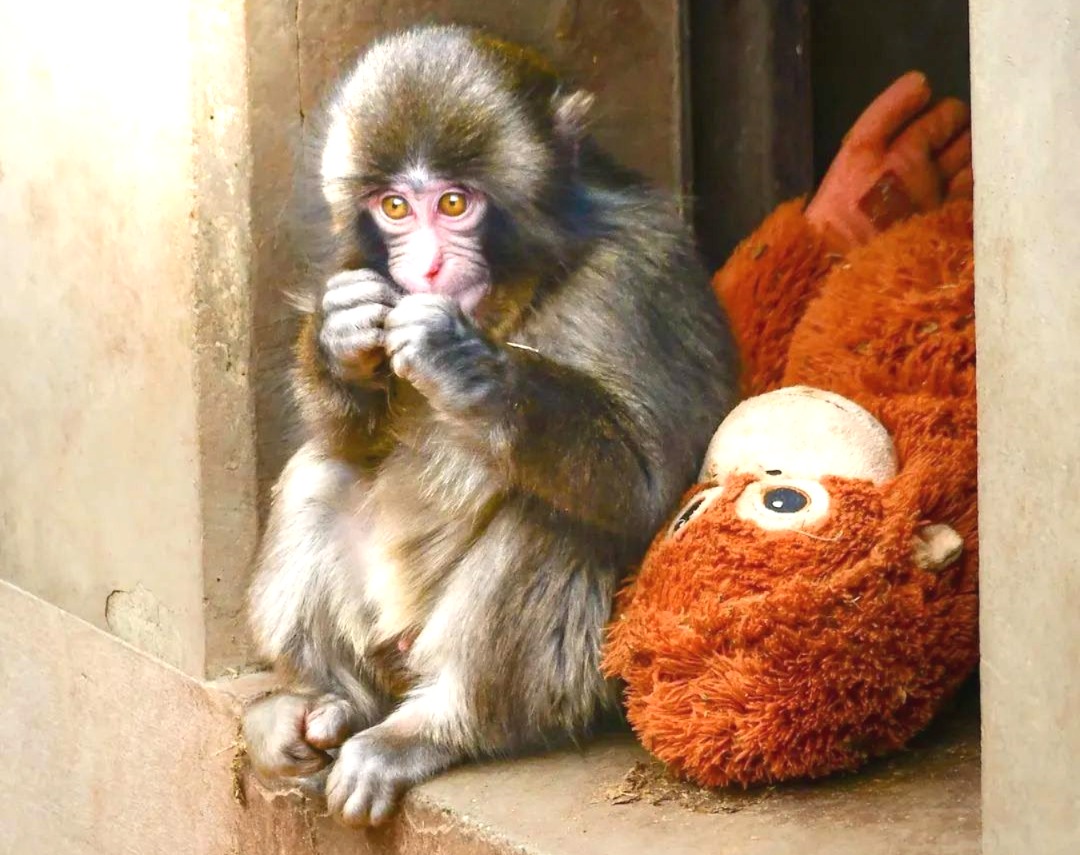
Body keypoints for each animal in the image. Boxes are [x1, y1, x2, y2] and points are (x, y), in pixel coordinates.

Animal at [242, 24, 738, 827]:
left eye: (453, 202)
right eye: (394, 208)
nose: (426, 268)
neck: (522, 286)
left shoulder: (639, 277)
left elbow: (651, 483)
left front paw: (467, 367)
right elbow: (351, 439)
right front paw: (336, 341)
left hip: (567, 680)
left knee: (552, 517)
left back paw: (434, 727)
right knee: (323, 469)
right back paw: (328, 702)